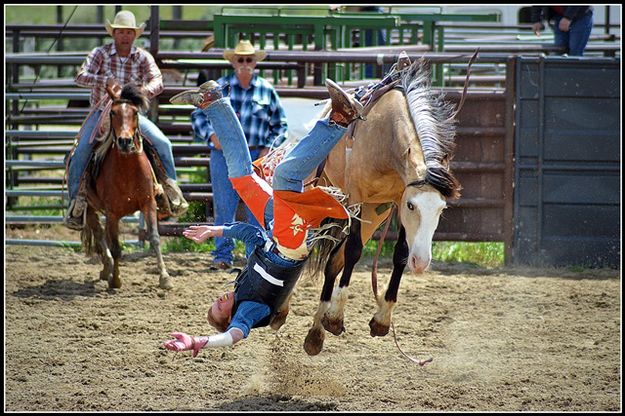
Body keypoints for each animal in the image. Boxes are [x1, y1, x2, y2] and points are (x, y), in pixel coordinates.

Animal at [82, 81, 173, 290]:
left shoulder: (148, 203)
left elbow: (154, 238)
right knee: (99, 233)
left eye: (135, 113)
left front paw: (164, 277)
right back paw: (107, 269)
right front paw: (115, 280)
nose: (125, 141)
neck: (127, 173)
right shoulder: (112, 213)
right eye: (113, 112)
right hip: (89, 206)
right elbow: (116, 247)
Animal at [300, 58, 466, 356]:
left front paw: (382, 318)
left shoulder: (393, 202)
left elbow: (400, 253)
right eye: (412, 206)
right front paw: (336, 316)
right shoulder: (359, 198)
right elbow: (354, 251)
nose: (422, 263)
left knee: (333, 262)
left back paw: (316, 334)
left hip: (374, 214)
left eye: (442, 209)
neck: (385, 139)